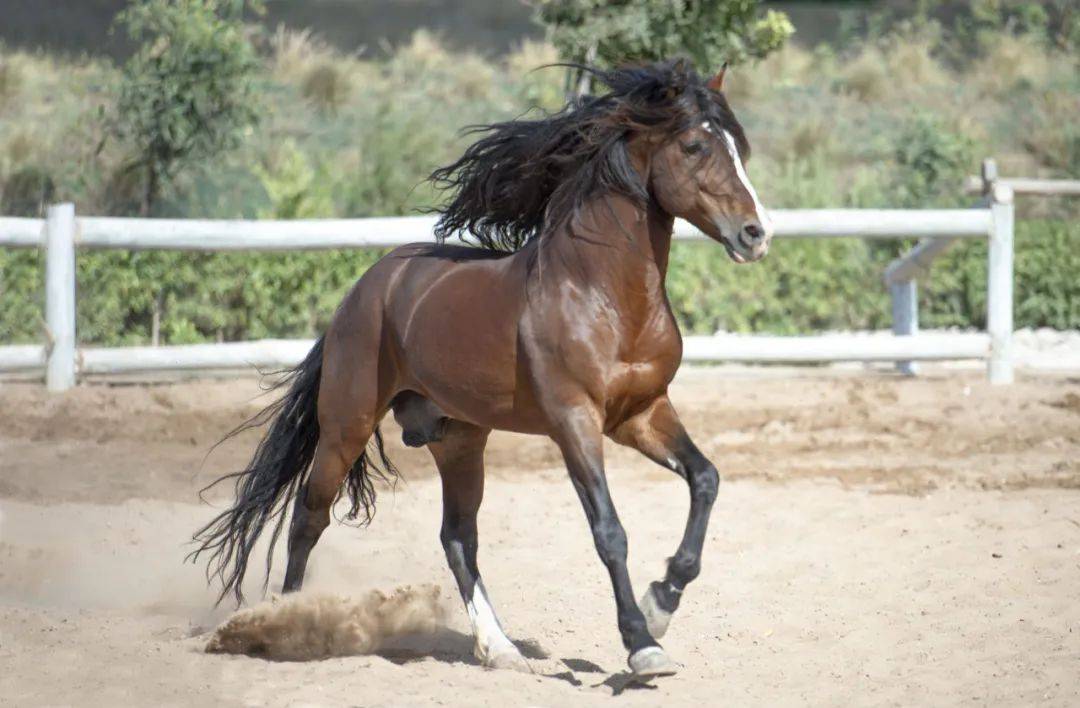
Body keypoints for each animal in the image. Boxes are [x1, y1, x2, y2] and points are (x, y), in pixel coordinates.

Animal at [191, 59, 773, 679]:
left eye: (740, 147)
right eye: (694, 145)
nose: (756, 234)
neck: (604, 295)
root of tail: (366, 288)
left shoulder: (640, 413)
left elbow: (706, 480)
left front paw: (661, 602)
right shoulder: (574, 421)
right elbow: (609, 531)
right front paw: (642, 645)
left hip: (460, 439)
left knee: (457, 537)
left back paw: (500, 648)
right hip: (346, 425)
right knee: (309, 516)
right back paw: (286, 624)